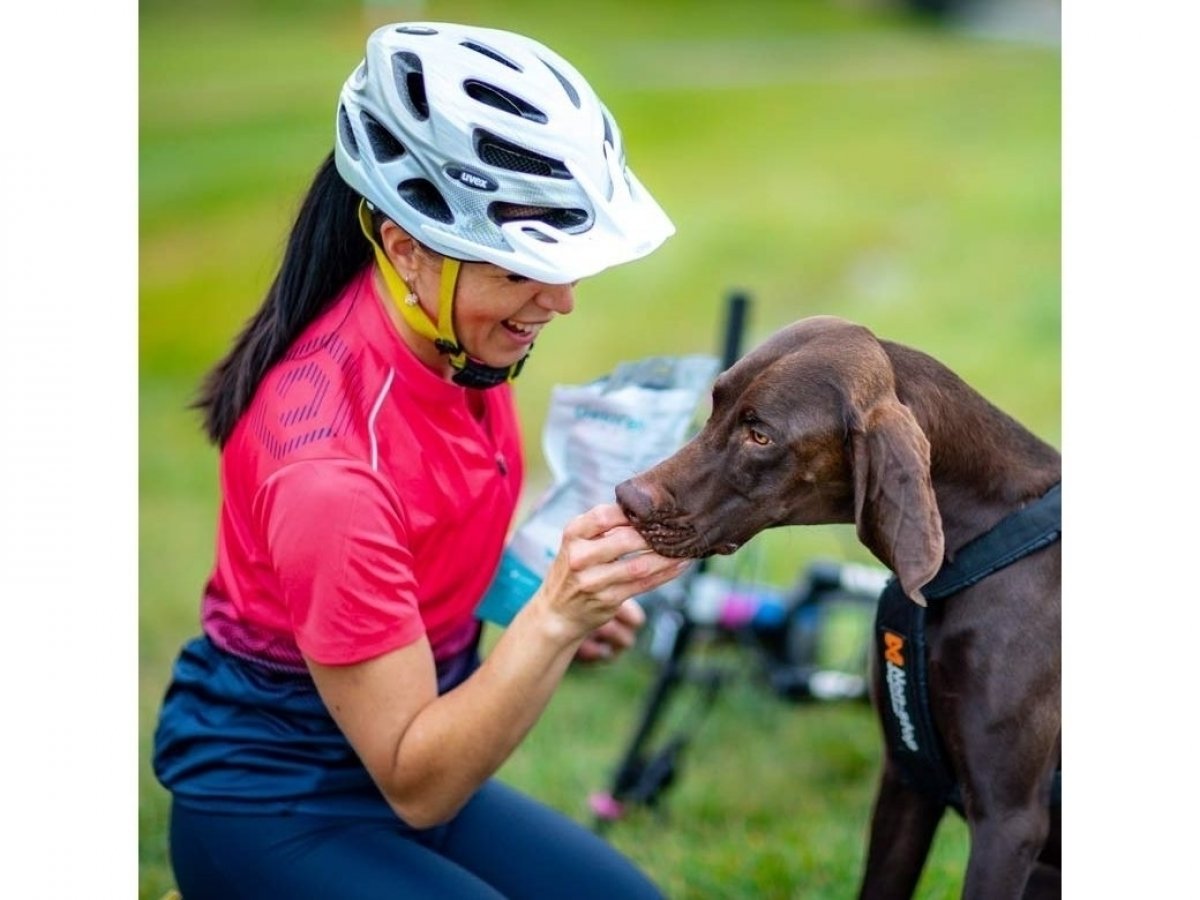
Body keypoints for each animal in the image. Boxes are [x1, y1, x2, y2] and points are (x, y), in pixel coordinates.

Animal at [619, 319, 1060, 900]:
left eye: (761, 436)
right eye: (716, 404)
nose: (627, 498)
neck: (982, 541)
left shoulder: (1006, 821)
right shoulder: (905, 782)